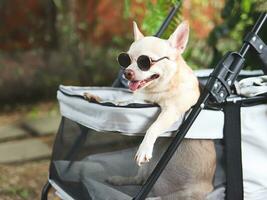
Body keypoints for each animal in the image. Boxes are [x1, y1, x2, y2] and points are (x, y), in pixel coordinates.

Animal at [88, 21, 218, 199]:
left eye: (145, 62)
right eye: (126, 60)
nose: (127, 72)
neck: (157, 91)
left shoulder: (171, 111)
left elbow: (153, 127)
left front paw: (144, 148)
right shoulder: (141, 99)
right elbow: (123, 101)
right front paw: (99, 98)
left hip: (186, 193)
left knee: (161, 196)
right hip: (146, 170)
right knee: (139, 180)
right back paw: (119, 180)